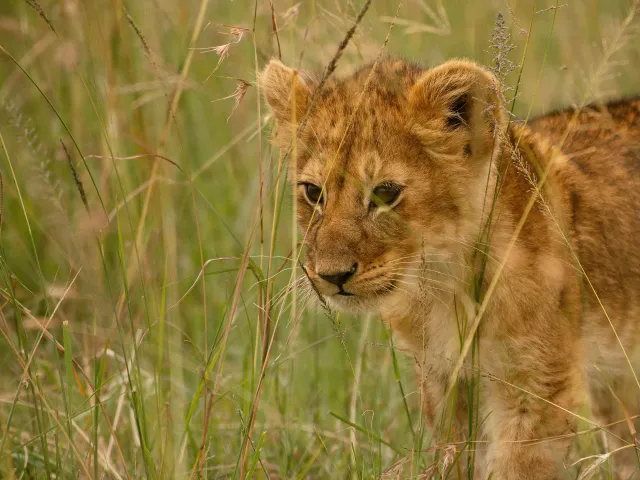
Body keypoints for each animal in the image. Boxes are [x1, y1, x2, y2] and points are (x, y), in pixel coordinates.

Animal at [259, 57, 640, 479]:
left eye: (385, 193)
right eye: (313, 192)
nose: (332, 276)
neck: (444, 286)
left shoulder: (538, 387)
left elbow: (518, 467)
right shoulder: (443, 380)